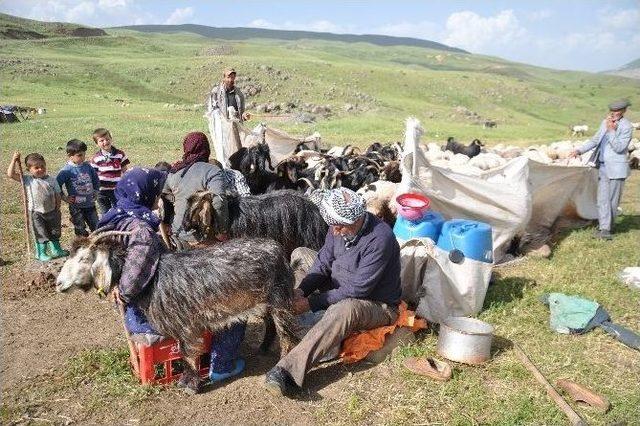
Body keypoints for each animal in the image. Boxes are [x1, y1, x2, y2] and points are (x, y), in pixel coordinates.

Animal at [55, 231, 298, 394]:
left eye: (84, 259)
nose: (58, 284)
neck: (151, 280)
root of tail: (277, 249)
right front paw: (187, 381)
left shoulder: (186, 323)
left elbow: (187, 353)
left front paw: (190, 385)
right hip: (262, 301)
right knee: (271, 326)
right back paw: (263, 347)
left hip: (279, 298)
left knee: (287, 335)